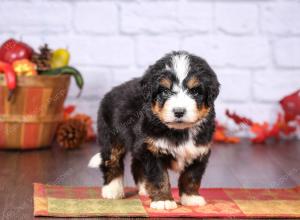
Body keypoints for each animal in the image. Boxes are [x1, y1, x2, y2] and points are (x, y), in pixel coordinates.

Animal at [89, 51, 220, 210]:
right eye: (165, 91)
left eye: (195, 91)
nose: (179, 111)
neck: (179, 131)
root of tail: (111, 92)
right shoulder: (152, 150)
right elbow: (159, 177)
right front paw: (163, 200)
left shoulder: (199, 150)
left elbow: (192, 176)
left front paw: (191, 197)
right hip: (112, 137)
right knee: (111, 161)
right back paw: (112, 190)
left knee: (136, 164)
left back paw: (144, 188)